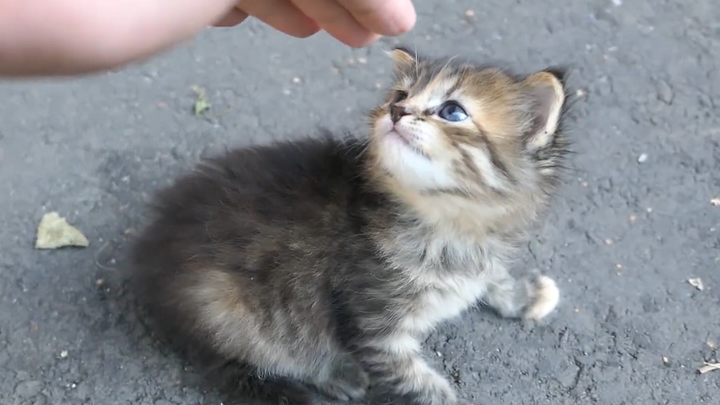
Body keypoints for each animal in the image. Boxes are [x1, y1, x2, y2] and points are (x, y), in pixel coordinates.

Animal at [126, 48, 572, 404]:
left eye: (452, 111)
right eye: (400, 96)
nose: (396, 111)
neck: (447, 224)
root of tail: (152, 248)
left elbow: (493, 276)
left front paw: (523, 294)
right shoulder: (373, 324)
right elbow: (416, 383)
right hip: (226, 310)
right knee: (247, 361)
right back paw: (336, 374)